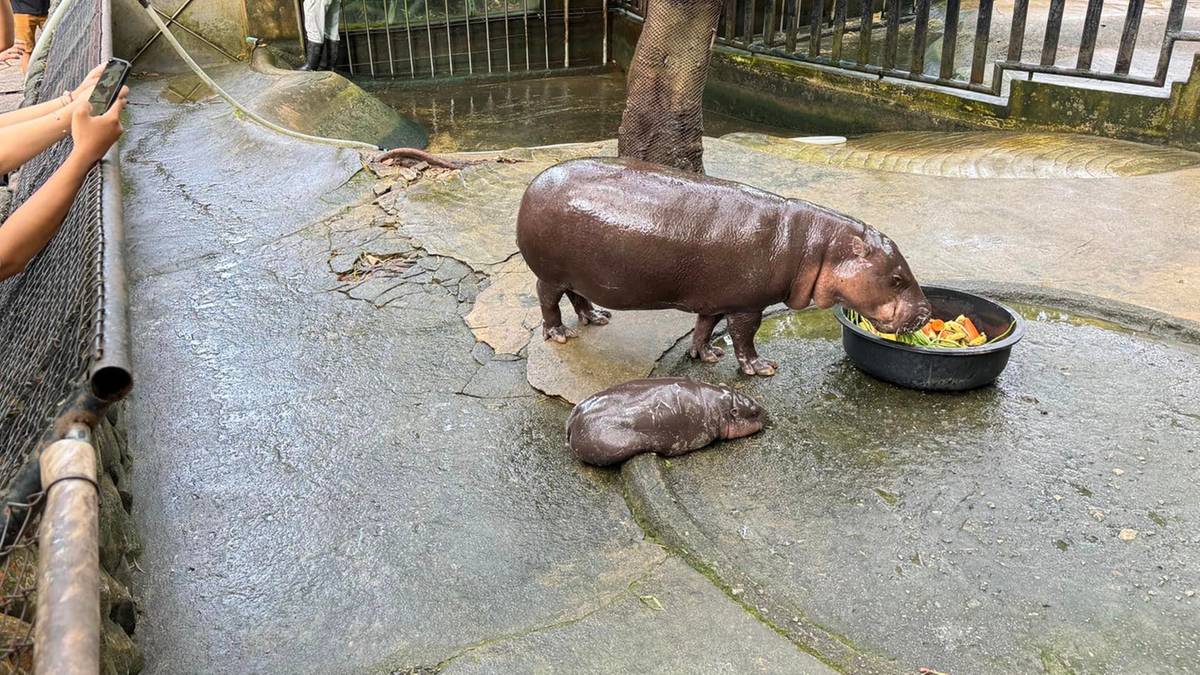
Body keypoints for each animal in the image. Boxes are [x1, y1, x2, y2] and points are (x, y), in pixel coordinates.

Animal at [511, 158, 931, 379]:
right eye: (897, 278)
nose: (927, 313)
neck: (817, 245)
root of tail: (534, 183)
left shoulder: (715, 298)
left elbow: (704, 326)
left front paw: (707, 355)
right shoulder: (746, 305)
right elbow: (744, 336)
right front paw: (762, 368)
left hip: (579, 273)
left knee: (577, 295)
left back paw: (597, 318)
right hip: (549, 272)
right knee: (547, 299)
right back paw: (560, 334)